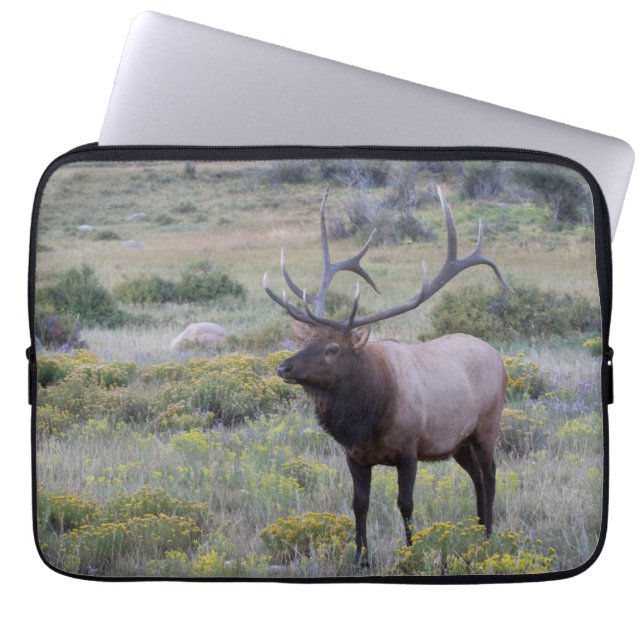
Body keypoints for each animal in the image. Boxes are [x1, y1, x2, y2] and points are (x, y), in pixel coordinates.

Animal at [263, 186, 510, 567]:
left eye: (333, 348)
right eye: (306, 341)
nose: (284, 368)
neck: (368, 416)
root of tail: (498, 357)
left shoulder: (409, 449)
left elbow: (405, 504)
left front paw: (410, 553)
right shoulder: (354, 455)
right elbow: (359, 505)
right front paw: (360, 559)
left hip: (487, 426)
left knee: (491, 474)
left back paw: (487, 536)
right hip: (459, 442)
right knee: (477, 478)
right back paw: (480, 531)